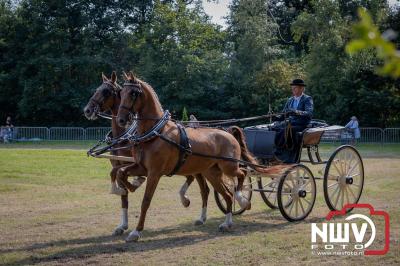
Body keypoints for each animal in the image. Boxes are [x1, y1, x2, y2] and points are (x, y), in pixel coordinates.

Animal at [115, 71, 258, 242]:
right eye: (120, 93)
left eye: (133, 93)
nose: (121, 119)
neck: (155, 133)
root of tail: (228, 133)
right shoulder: (142, 167)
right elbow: (120, 172)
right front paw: (130, 186)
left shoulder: (155, 173)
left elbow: (146, 201)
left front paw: (136, 232)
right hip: (212, 173)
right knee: (227, 195)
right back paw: (227, 223)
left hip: (228, 166)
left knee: (242, 174)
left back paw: (242, 199)